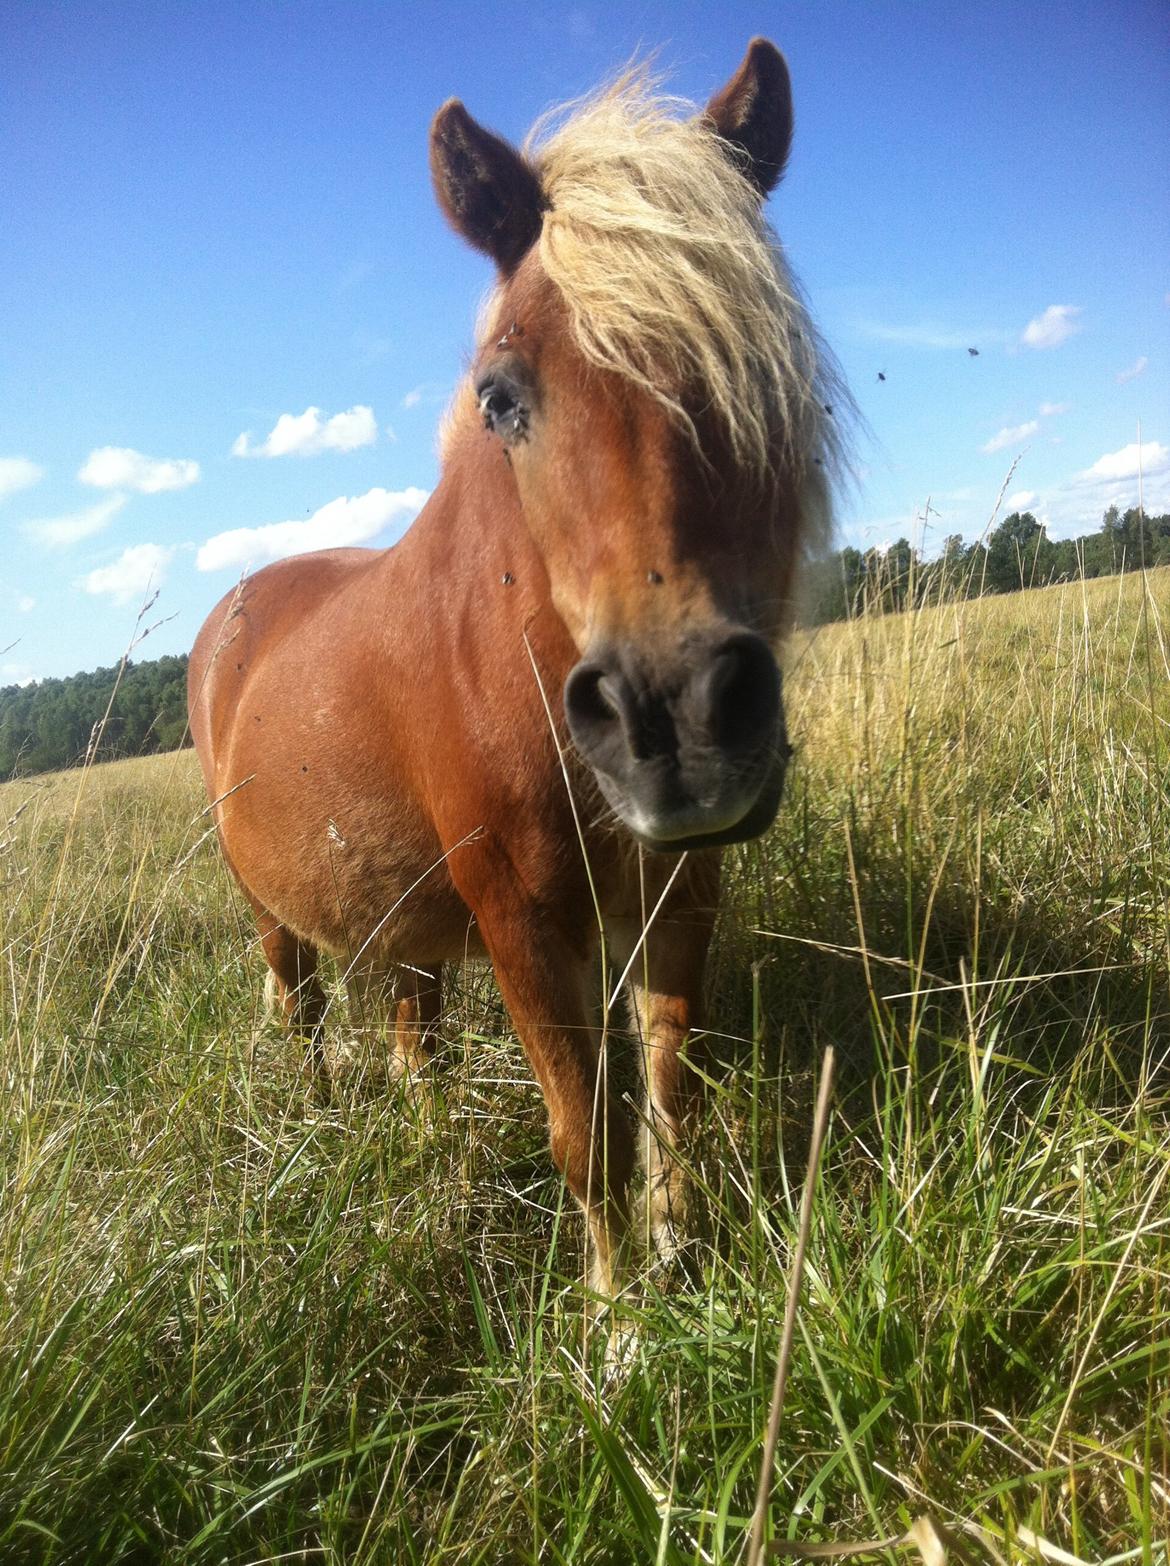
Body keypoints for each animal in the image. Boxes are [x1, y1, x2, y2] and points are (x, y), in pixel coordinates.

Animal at [187, 42, 839, 1302]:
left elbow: (670, 1089)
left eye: (762, 362)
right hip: (272, 915)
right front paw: (620, 1314)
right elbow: (587, 1132)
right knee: (301, 1013)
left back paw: (434, 1149)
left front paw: (680, 1255)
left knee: (414, 1034)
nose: (676, 723)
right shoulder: (524, 921)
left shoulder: (680, 885)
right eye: (502, 395)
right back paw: (320, 1133)